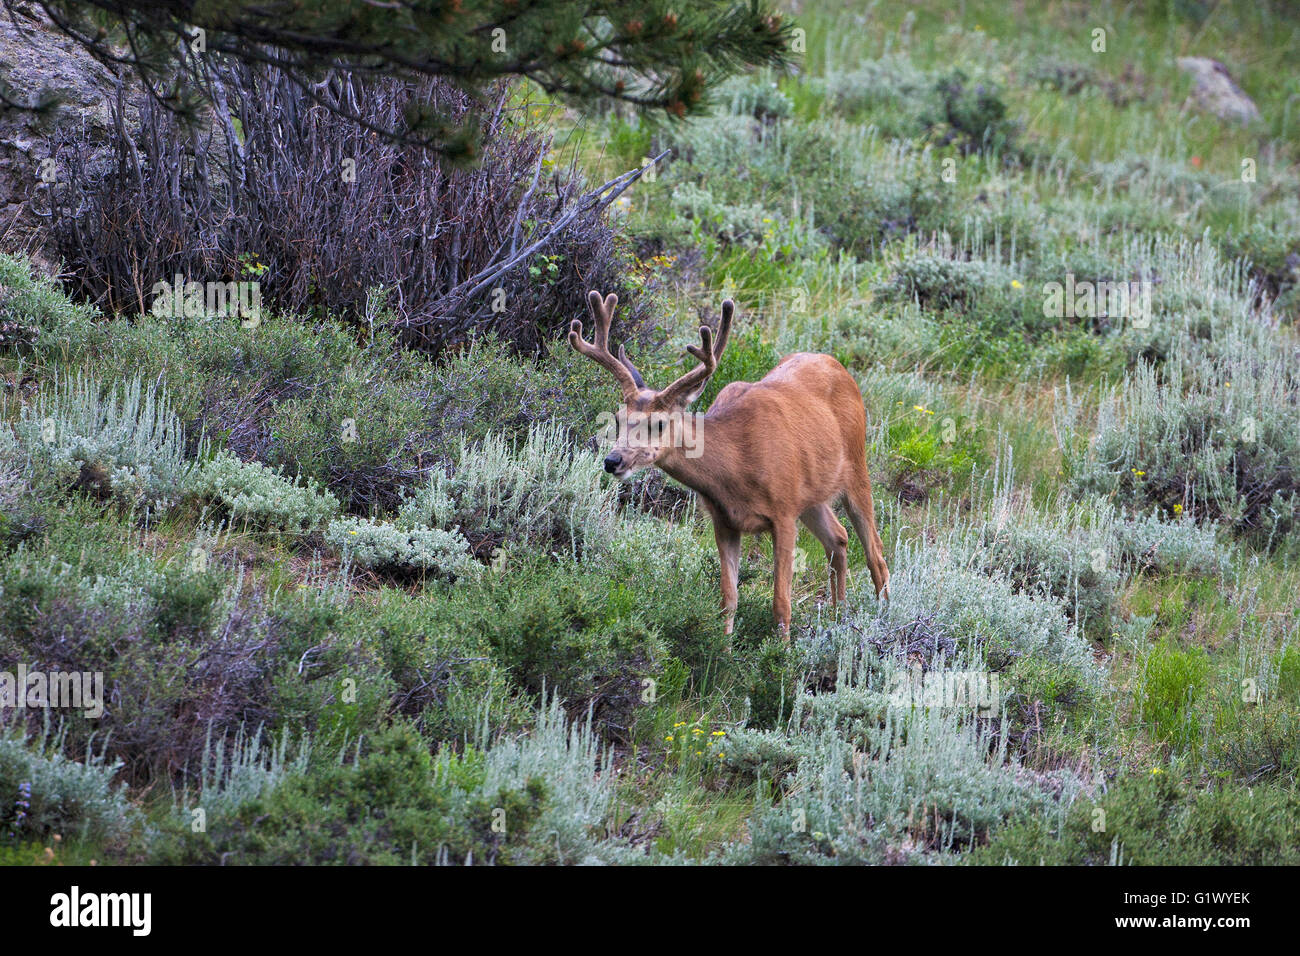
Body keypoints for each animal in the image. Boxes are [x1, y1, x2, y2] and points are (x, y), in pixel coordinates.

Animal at [570, 290, 890, 639]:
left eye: (659, 423)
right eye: (617, 418)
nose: (612, 460)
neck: (737, 466)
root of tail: (837, 365)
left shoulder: (783, 512)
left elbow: (781, 603)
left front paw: (782, 651)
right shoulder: (724, 520)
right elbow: (728, 599)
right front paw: (723, 647)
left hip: (856, 466)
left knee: (875, 553)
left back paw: (882, 620)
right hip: (811, 495)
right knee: (838, 539)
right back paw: (839, 618)